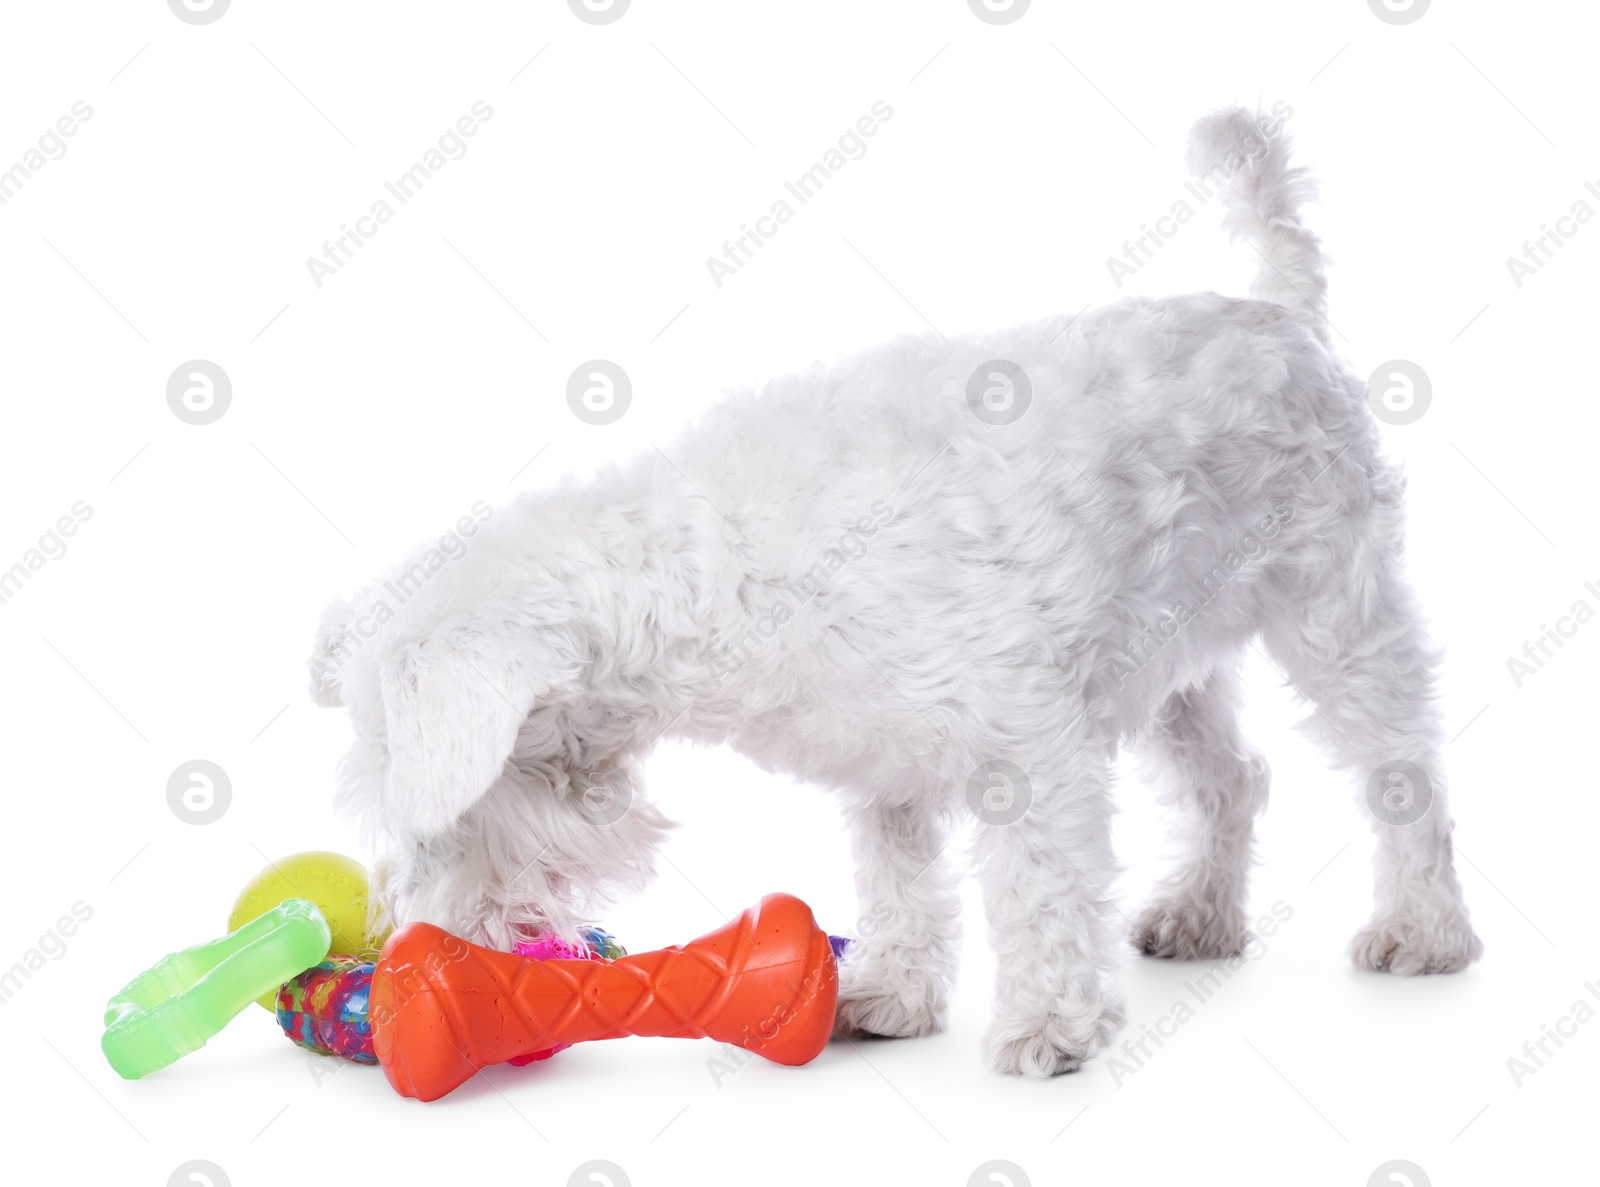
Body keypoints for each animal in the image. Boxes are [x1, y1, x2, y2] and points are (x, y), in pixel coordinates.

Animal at [312, 109, 1484, 1081]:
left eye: (434, 820)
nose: (415, 945)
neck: (710, 567)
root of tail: (1278, 313)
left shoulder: (1031, 751)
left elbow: (1038, 890)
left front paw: (1050, 1026)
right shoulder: (883, 761)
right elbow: (901, 882)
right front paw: (889, 993)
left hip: (1338, 615)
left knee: (1403, 774)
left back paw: (1425, 929)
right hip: (1166, 668)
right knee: (1233, 778)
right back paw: (1200, 915)